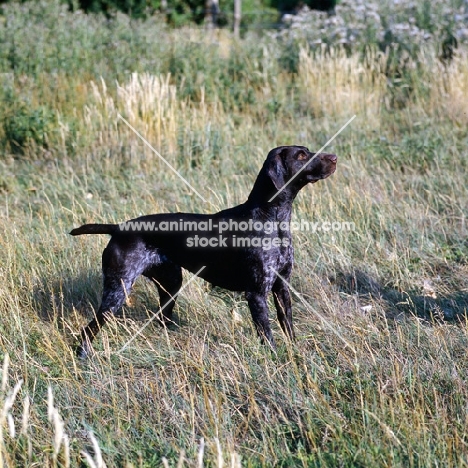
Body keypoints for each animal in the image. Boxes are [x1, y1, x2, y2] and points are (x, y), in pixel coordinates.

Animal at [69, 146, 336, 358]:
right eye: (301, 155)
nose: (334, 157)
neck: (272, 219)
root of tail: (118, 228)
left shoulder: (282, 287)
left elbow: (288, 326)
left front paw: (296, 353)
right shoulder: (257, 293)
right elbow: (267, 334)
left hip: (171, 284)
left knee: (162, 319)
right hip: (118, 291)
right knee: (89, 328)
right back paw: (83, 356)